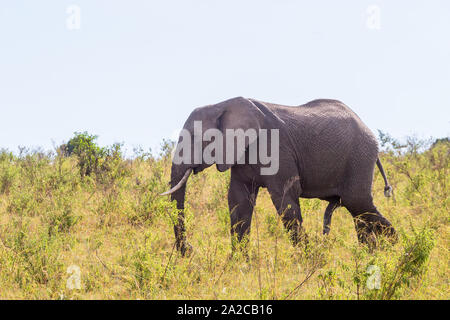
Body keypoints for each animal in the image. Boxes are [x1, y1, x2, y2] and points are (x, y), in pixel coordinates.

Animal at [162, 96, 398, 256]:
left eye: (195, 137)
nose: (189, 250)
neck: (222, 105)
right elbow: (239, 199)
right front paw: (239, 263)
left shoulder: (276, 148)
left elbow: (284, 197)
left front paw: (308, 260)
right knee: (357, 210)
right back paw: (371, 252)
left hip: (360, 157)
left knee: (357, 202)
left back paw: (394, 248)